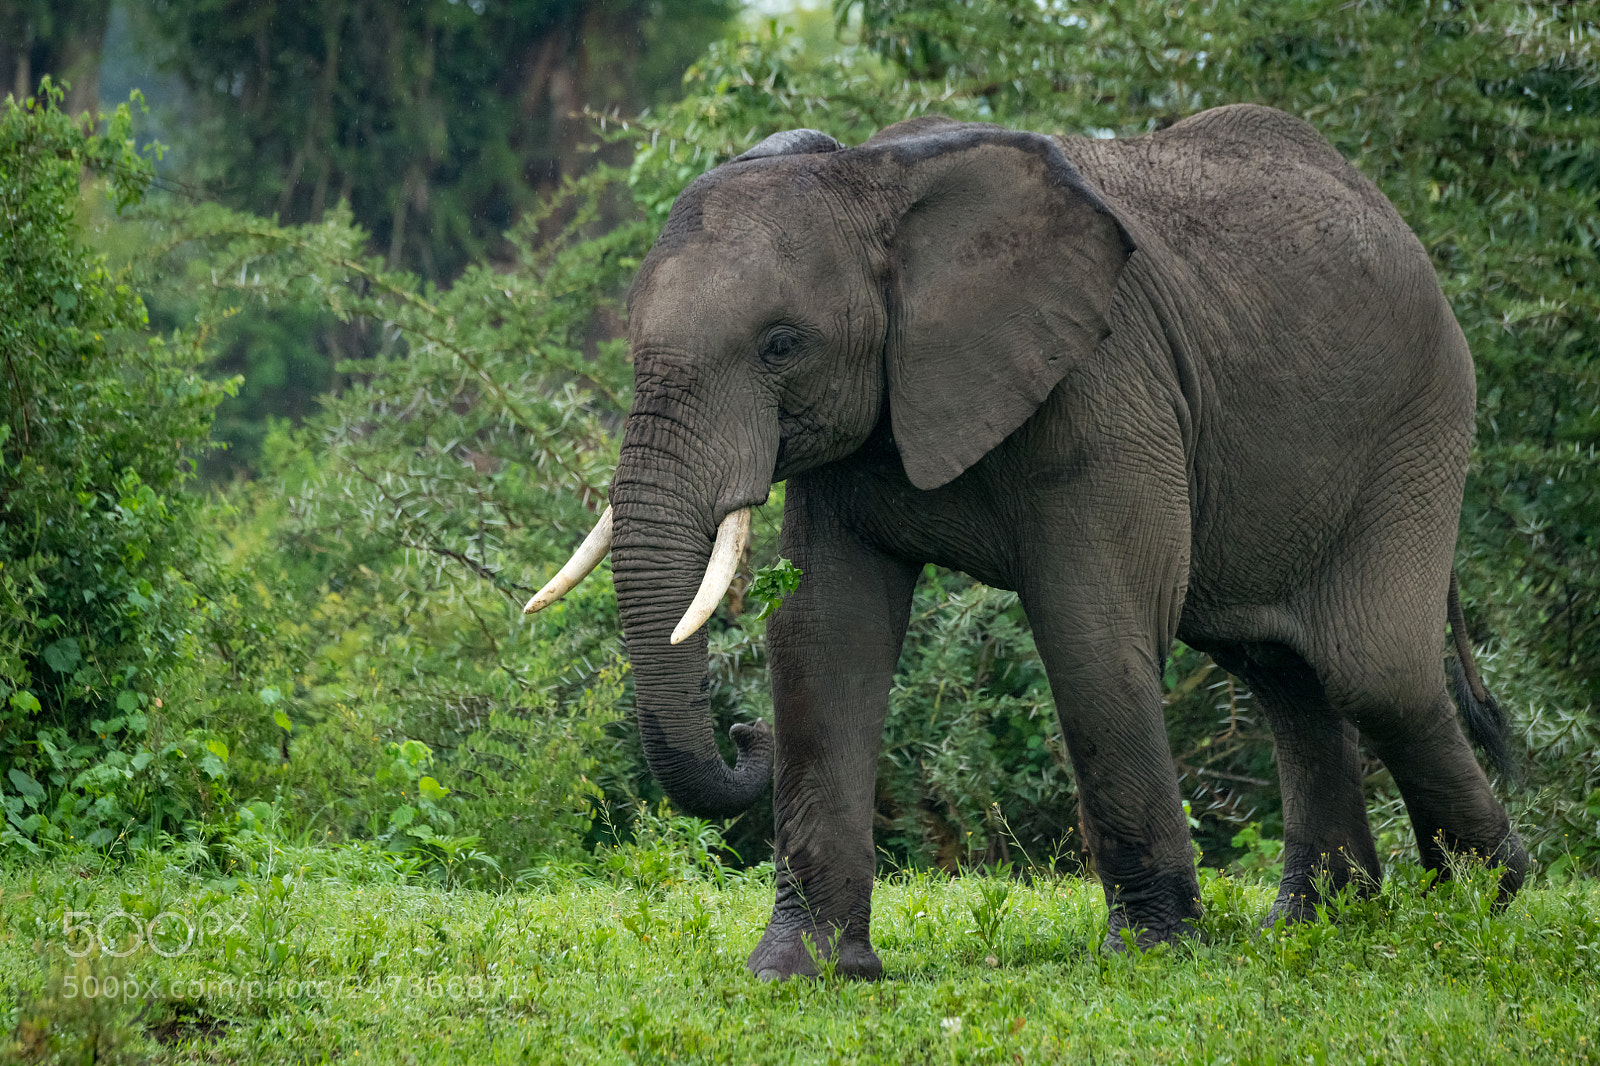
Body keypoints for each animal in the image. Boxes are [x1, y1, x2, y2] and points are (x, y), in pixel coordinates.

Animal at [525, 104, 1527, 980]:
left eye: (780, 345)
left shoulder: (1103, 381)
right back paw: (1319, 923)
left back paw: (1488, 896)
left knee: (1373, 670)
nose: (743, 732)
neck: (876, 181)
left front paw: (1151, 955)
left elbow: (1091, 627)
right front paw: (804, 973)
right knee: (1281, 668)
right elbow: (825, 636)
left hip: (1419, 418)